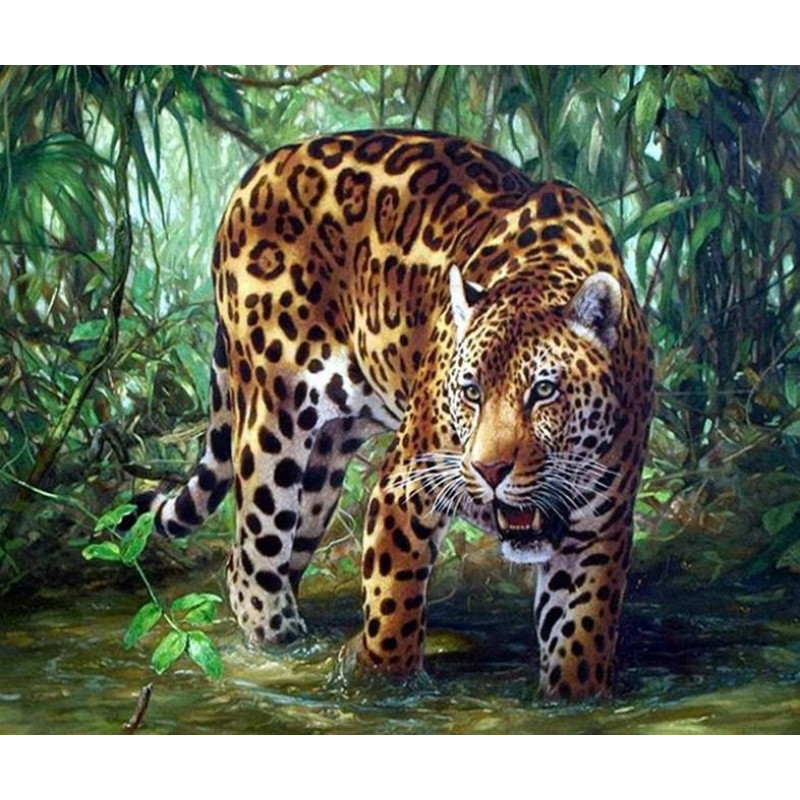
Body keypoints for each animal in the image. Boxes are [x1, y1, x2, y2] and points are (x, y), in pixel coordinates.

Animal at [127, 129, 654, 701]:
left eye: (543, 391)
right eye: (470, 391)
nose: (490, 471)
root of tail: (259, 170)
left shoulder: (596, 534)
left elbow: (579, 640)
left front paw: (573, 701)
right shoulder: (405, 488)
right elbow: (392, 607)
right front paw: (382, 689)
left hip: (323, 471)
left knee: (273, 560)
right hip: (271, 429)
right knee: (250, 566)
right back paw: (278, 655)